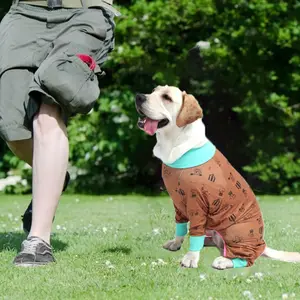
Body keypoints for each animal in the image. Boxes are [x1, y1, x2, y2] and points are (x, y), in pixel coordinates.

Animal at [135, 85, 300, 270]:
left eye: (167, 98)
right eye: (153, 91)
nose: (139, 96)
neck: (174, 143)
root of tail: (262, 244)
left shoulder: (197, 203)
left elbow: (196, 230)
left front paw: (190, 258)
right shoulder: (178, 201)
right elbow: (181, 224)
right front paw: (176, 243)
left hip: (234, 230)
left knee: (247, 257)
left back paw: (224, 260)